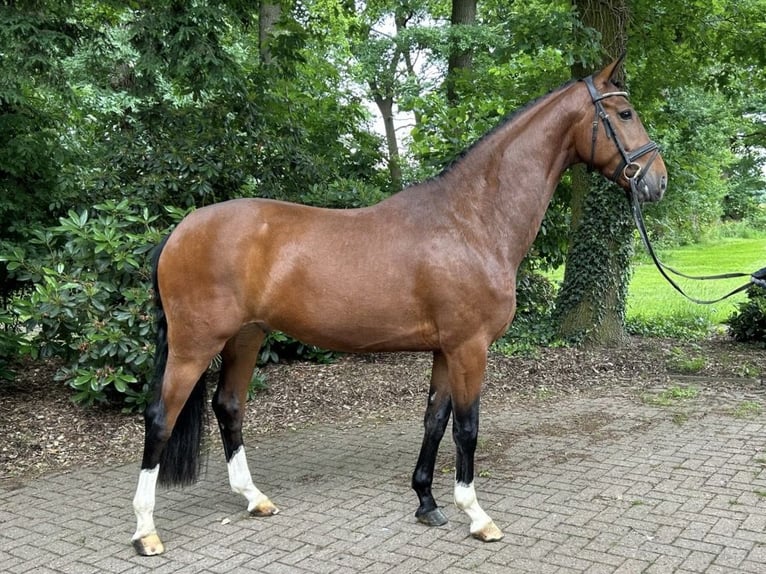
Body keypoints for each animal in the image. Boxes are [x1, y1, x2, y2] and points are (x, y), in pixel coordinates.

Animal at [130, 56, 664, 556]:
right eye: (625, 112)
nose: (656, 181)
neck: (471, 220)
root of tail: (178, 232)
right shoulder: (470, 348)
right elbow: (467, 428)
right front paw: (477, 515)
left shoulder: (447, 350)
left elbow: (435, 420)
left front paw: (426, 502)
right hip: (195, 344)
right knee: (160, 417)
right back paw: (145, 531)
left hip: (246, 336)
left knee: (229, 406)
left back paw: (254, 498)